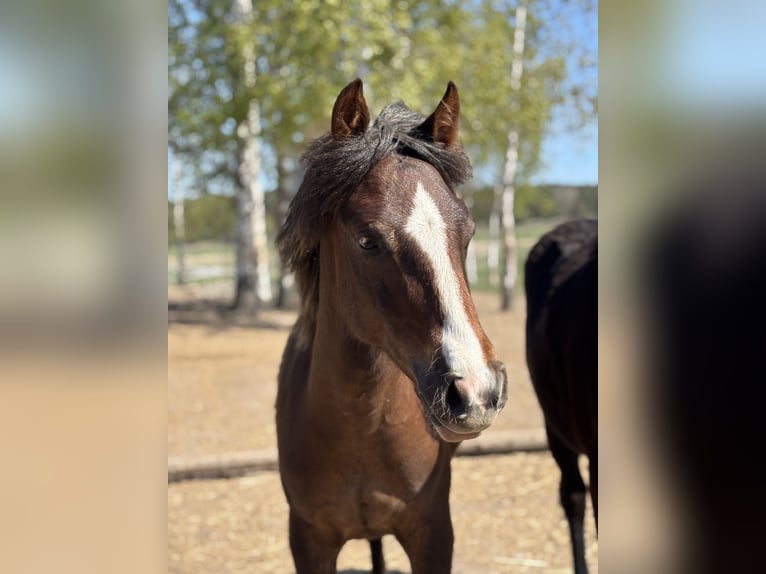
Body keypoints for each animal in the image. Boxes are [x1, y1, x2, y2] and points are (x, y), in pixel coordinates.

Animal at [275, 79, 508, 574]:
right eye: (368, 240)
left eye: (468, 234)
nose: (477, 391)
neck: (360, 428)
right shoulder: (308, 539)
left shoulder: (433, 531)